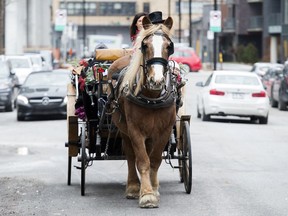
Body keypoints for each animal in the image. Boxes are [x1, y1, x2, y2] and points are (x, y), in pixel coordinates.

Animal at [108, 15, 176, 208]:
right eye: (145, 45)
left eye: (169, 46)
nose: (156, 80)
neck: (152, 97)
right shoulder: (135, 130)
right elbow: (142, 160)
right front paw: (146, 194)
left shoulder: (165, 130)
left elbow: (155, 159)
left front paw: (153, 189)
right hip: (123, 129)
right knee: (131, 155)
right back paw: (133, 187)